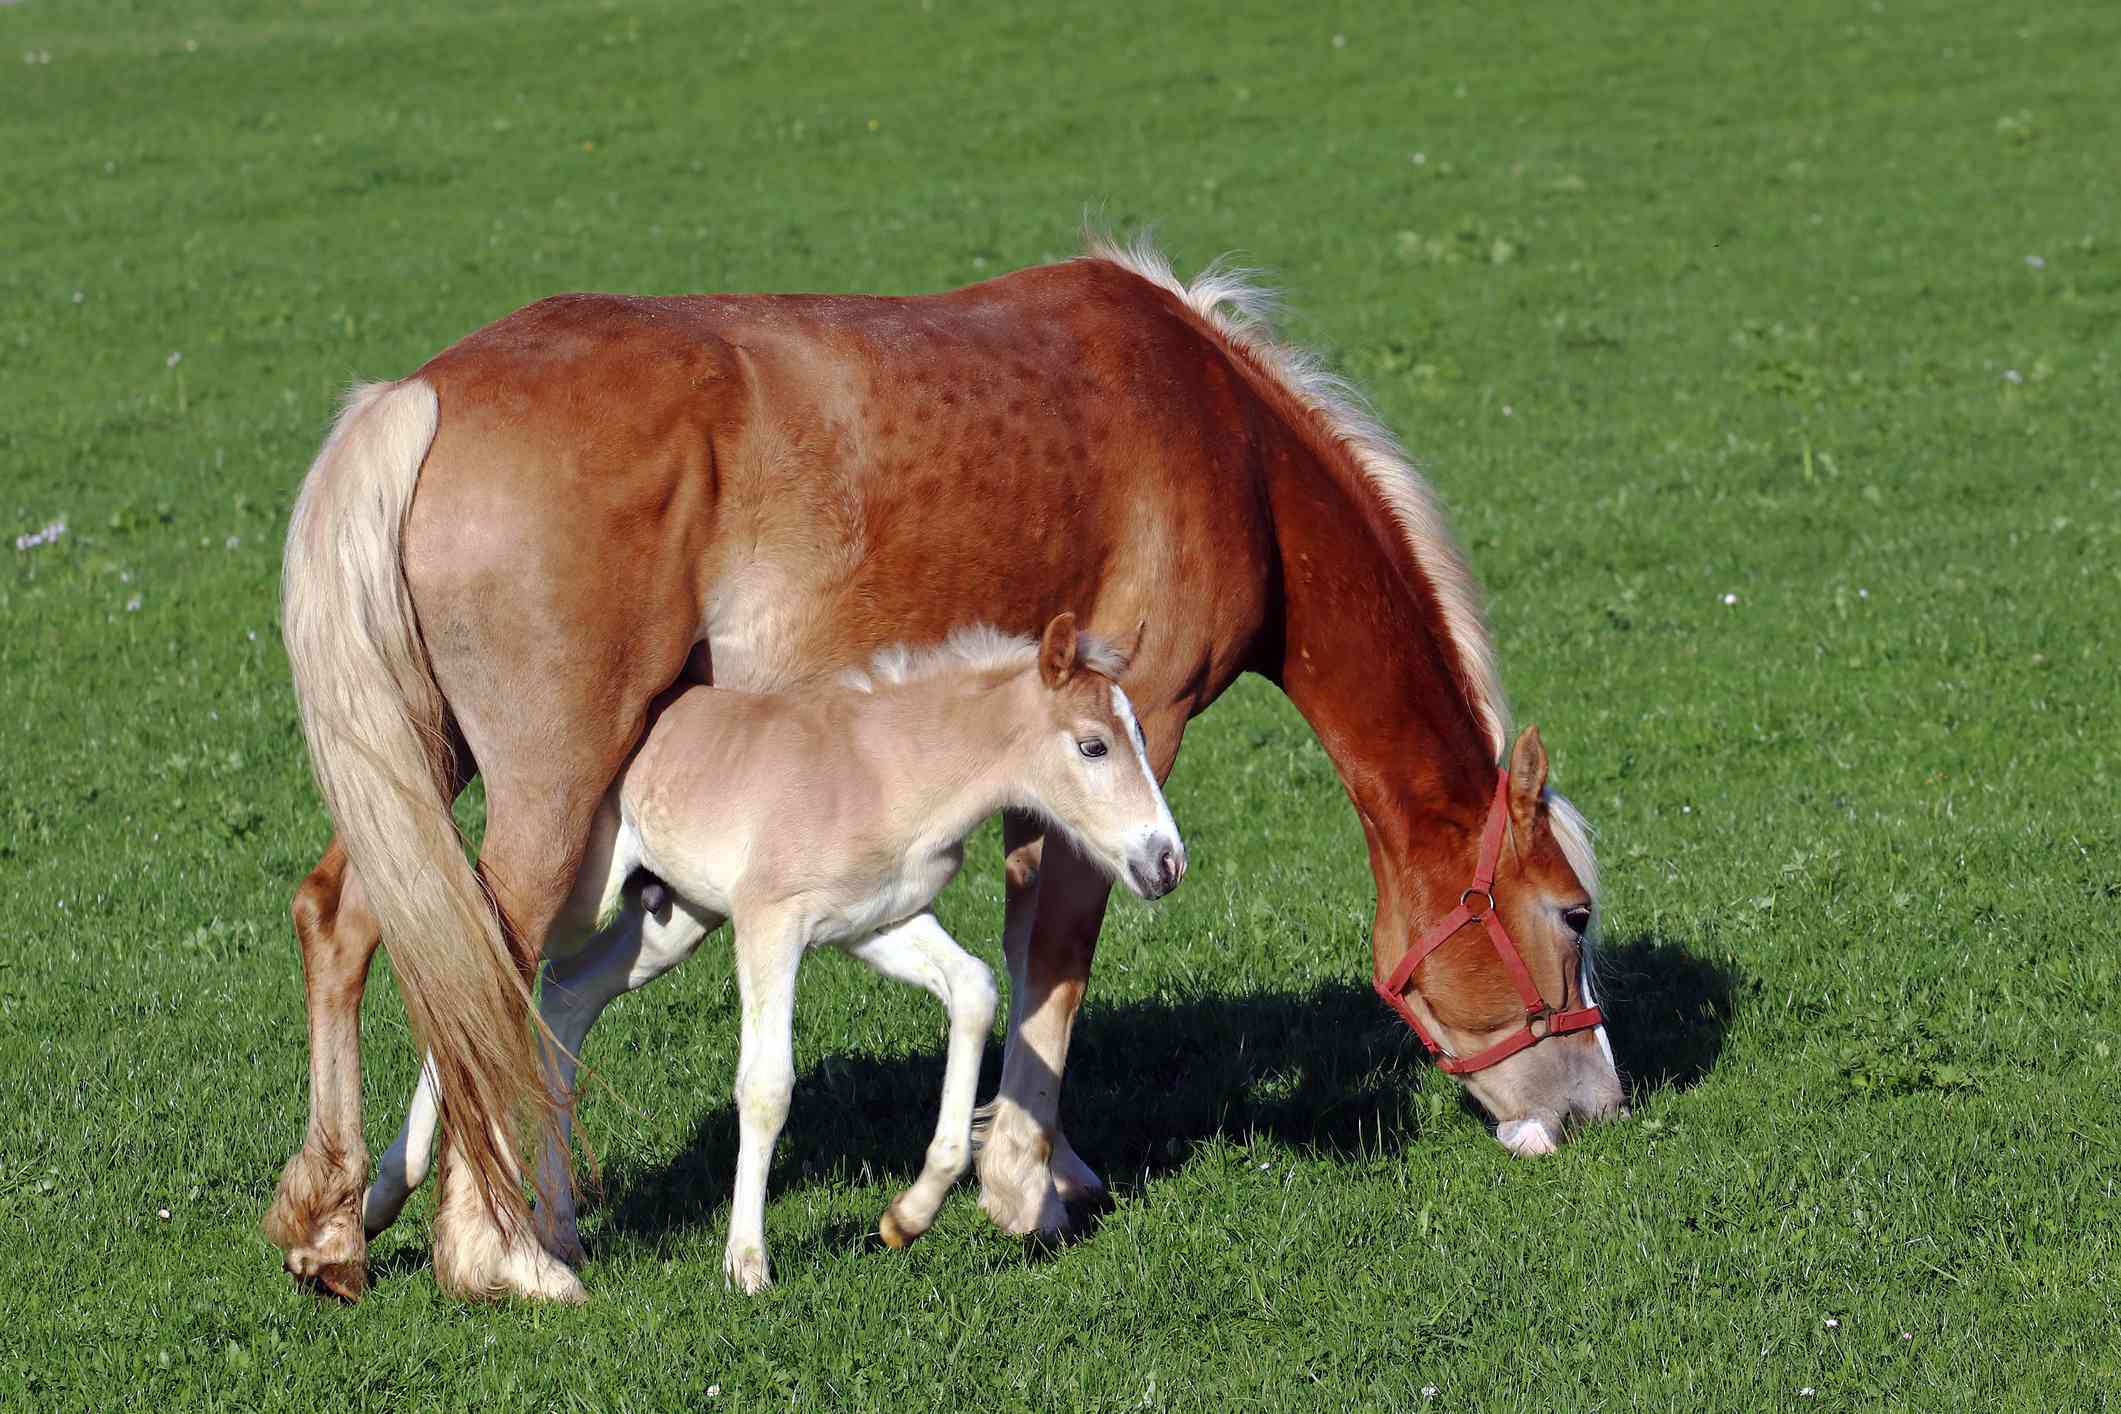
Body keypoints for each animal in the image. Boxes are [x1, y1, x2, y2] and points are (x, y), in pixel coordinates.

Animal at [364, 614, 1196, 1297]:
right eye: (1092, 745)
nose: (1165, 862)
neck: (883, 771)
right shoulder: (771, 924)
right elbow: (766, 1086)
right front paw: (746, 1264)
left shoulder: (878, 922)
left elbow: (976, 990)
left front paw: (908, 1216)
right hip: (581, 897)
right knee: (472, 975)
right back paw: (387, 1195)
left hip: (672, 919)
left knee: (563, 998)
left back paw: (557, 1230)